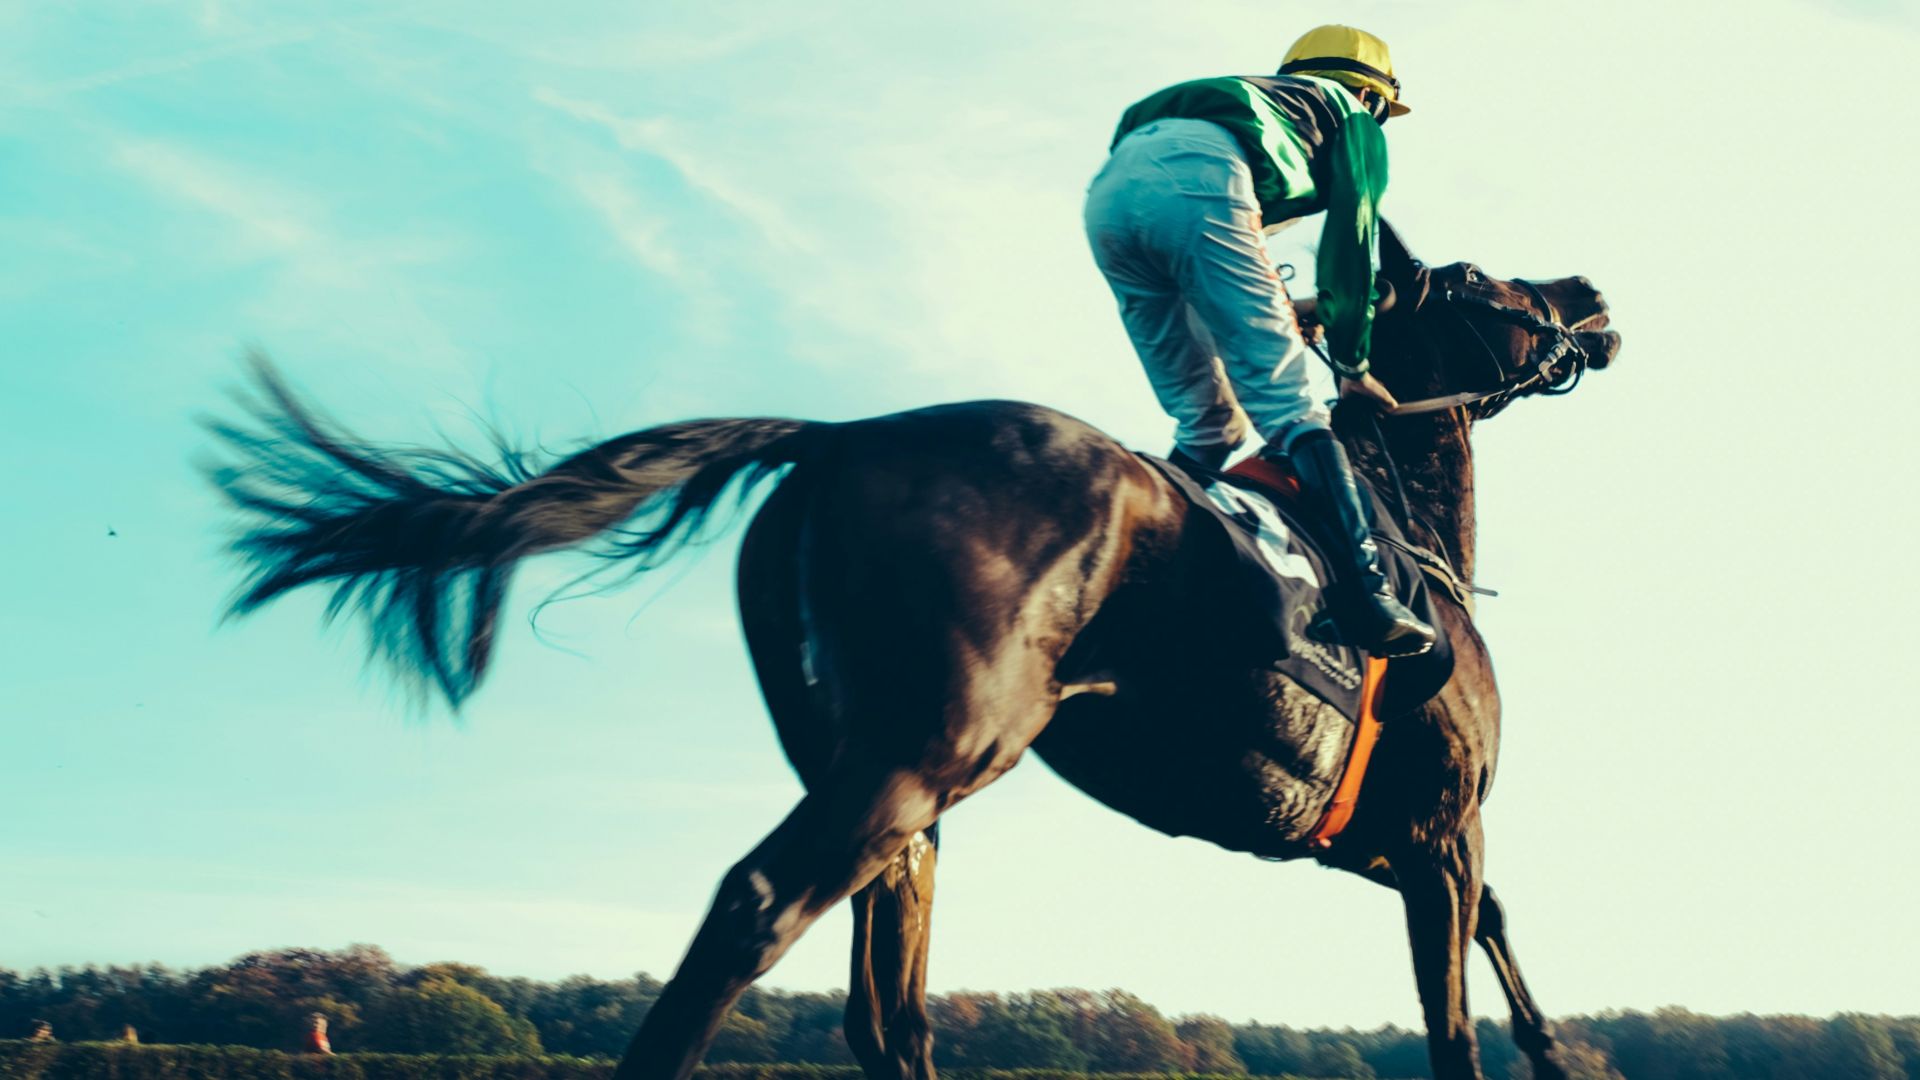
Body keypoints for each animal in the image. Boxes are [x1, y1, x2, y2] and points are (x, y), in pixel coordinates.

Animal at [204, 225, 1619, 1080]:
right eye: (1493, 288)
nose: (1594, 296)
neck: (1403, 528)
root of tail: (836, 436)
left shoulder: (1375, 842)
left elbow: (1495, 929)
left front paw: (1562, 1050)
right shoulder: (1436, 829)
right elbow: (1454, 1008)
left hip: (897, 787)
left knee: (885, 1012)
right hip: (923, 758)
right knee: (757, 911)